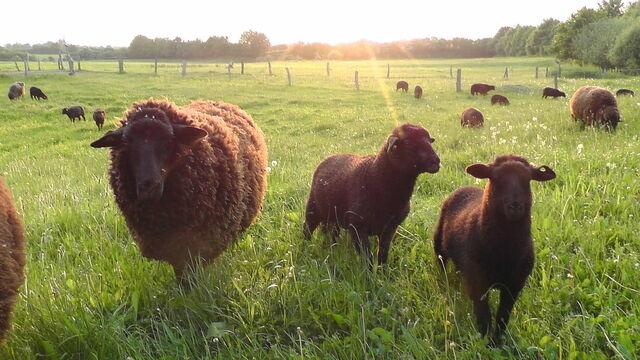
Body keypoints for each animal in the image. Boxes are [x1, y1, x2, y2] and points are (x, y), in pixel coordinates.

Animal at [302, 122, 438, 266]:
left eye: (429, 141)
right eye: (407, 143)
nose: (436, 161)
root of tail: (328, 157)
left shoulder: (390, 227)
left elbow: (383, 252)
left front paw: (382, 269)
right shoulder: (357, 227)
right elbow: (366, 254)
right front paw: (368, 270)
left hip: (332, 215)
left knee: (331, 232)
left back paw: (332, 246)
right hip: (313, 208)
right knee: (307, 229)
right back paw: (306, 247)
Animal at [432, 155, 556, 344]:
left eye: (527, 180)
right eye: (496, 179)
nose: (515, 206)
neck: (504, 249)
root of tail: (466, 187)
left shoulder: (514, 286)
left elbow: (503, 316)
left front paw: (497, 342)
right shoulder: (479, 283)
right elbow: (484, 316)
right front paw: (484, 341)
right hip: (439, 244)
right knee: (442, 266)